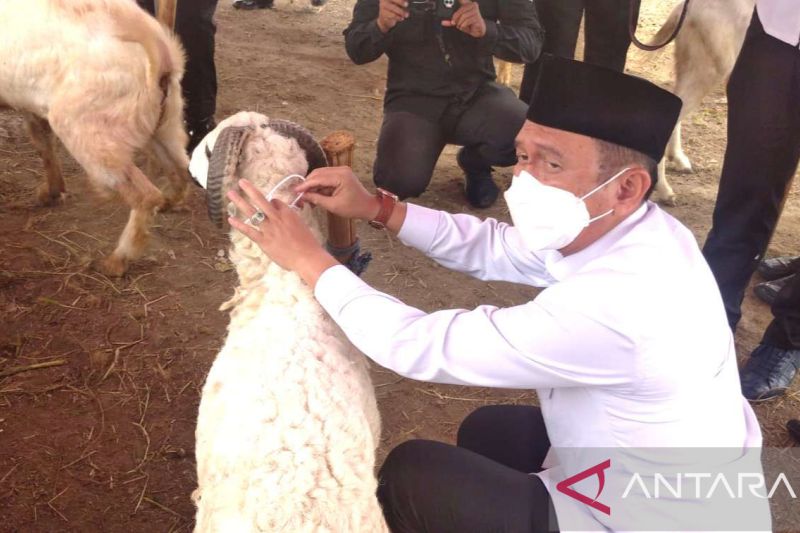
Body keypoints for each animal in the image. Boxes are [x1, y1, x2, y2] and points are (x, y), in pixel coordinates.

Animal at [0, 0, 191, 274]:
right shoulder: (30, 105)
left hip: (91, 134)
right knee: (181, 169)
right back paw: (167, 203)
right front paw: (50, 193)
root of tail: (161, 50)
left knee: (144, 194)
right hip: (166, 124)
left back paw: (116, 261)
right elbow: (42, 142)